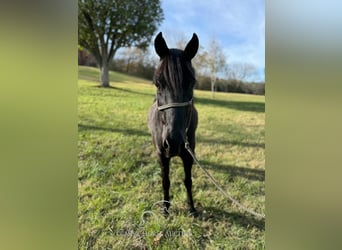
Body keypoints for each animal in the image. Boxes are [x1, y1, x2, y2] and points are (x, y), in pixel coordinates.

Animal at [148, 32, 200, 216]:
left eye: (192, 83)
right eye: (157, 83)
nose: (174, 142)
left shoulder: (189, 155)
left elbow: (188, 180)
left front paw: (191, 208)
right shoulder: (162, 155)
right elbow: (166, 181)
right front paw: (165, 209)